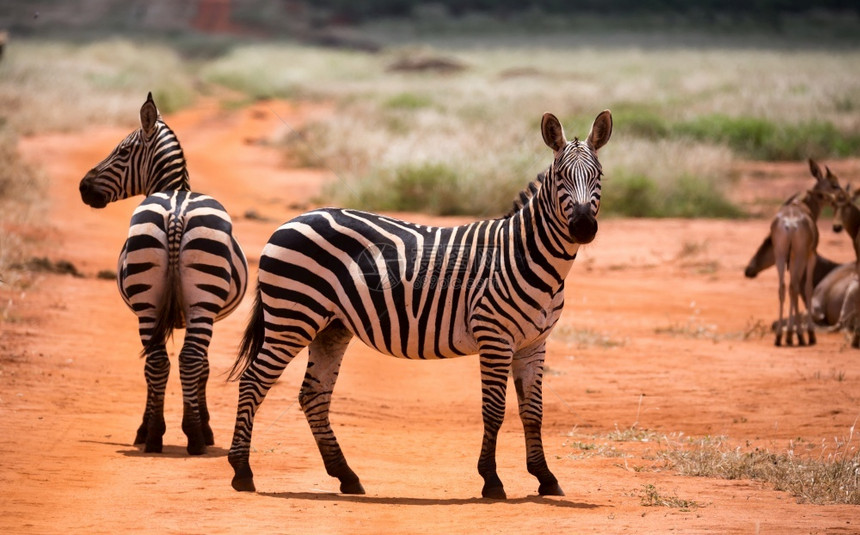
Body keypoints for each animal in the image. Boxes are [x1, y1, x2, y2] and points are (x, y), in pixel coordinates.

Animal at [77, 93, 249, 456]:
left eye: (122, 151)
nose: (83, 188)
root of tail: (176, 210)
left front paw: (150, 429)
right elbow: (199, 367)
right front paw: (201, 428)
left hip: (154, 304)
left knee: (161, 361)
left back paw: (161, 435)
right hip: (195, 304)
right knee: (184, 360)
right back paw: (189, 436)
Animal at [225, 111, 608, 500]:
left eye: (599, 176)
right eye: (560, 177)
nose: (583, 227)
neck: (524, 256)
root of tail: (291, 220)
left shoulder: (534, 344)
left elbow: (533, 412)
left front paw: (545, 477)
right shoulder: (494, 337)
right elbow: (494, 410)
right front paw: (491, 480)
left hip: (331, 327)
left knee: (313, 395)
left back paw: (346, 476)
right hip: (293, 316)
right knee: (253, 381)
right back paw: (242, 472)